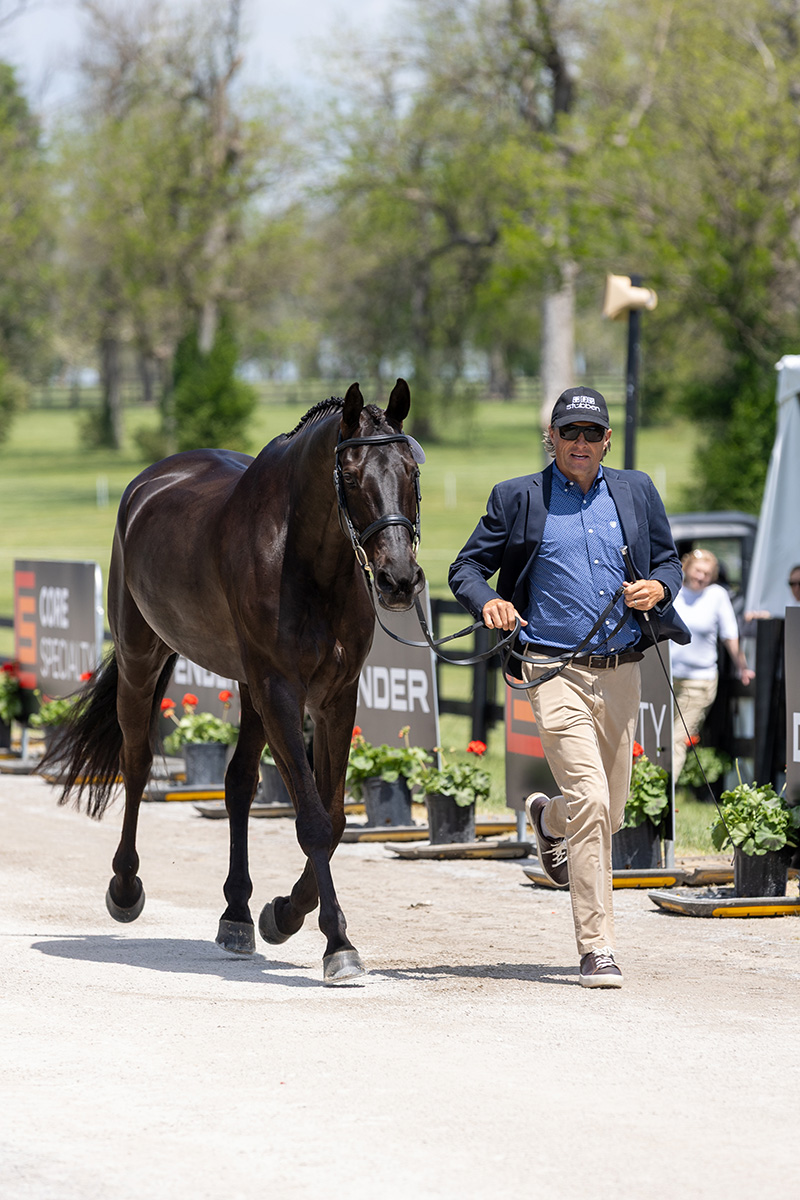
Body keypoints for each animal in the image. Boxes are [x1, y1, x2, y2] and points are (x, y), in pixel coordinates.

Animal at [49, 379, 424, 984]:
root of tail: (150, 481)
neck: (304, 557)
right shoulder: (280, 689)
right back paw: (126, 887)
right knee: (137, 762)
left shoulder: (335, 696)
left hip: (247, 690)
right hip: (142, 657)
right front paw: (337, 943)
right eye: (350, 476)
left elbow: (333, 817)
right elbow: (311, 820)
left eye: (410, 471)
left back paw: (238, 914)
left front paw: (284, 913)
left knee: (239, 784)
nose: (398, 580)